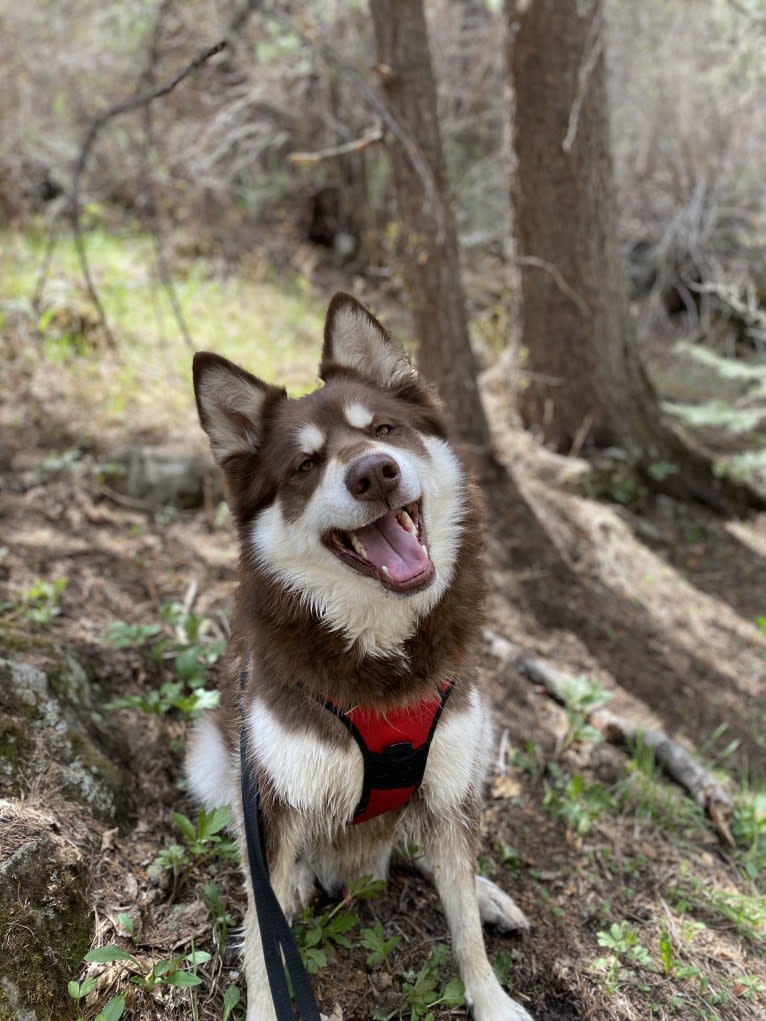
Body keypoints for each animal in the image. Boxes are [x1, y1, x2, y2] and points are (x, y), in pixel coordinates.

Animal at [185, 294, 535, 1021]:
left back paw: (489, 892)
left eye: (383, 428)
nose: (374, 472)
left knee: (435, 855)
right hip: (212, 759)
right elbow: (261, 932)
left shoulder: (450, 779)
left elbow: (462, 922)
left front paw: (490, 997)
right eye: (304, 466)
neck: (382, 658)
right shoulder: (269, 798)